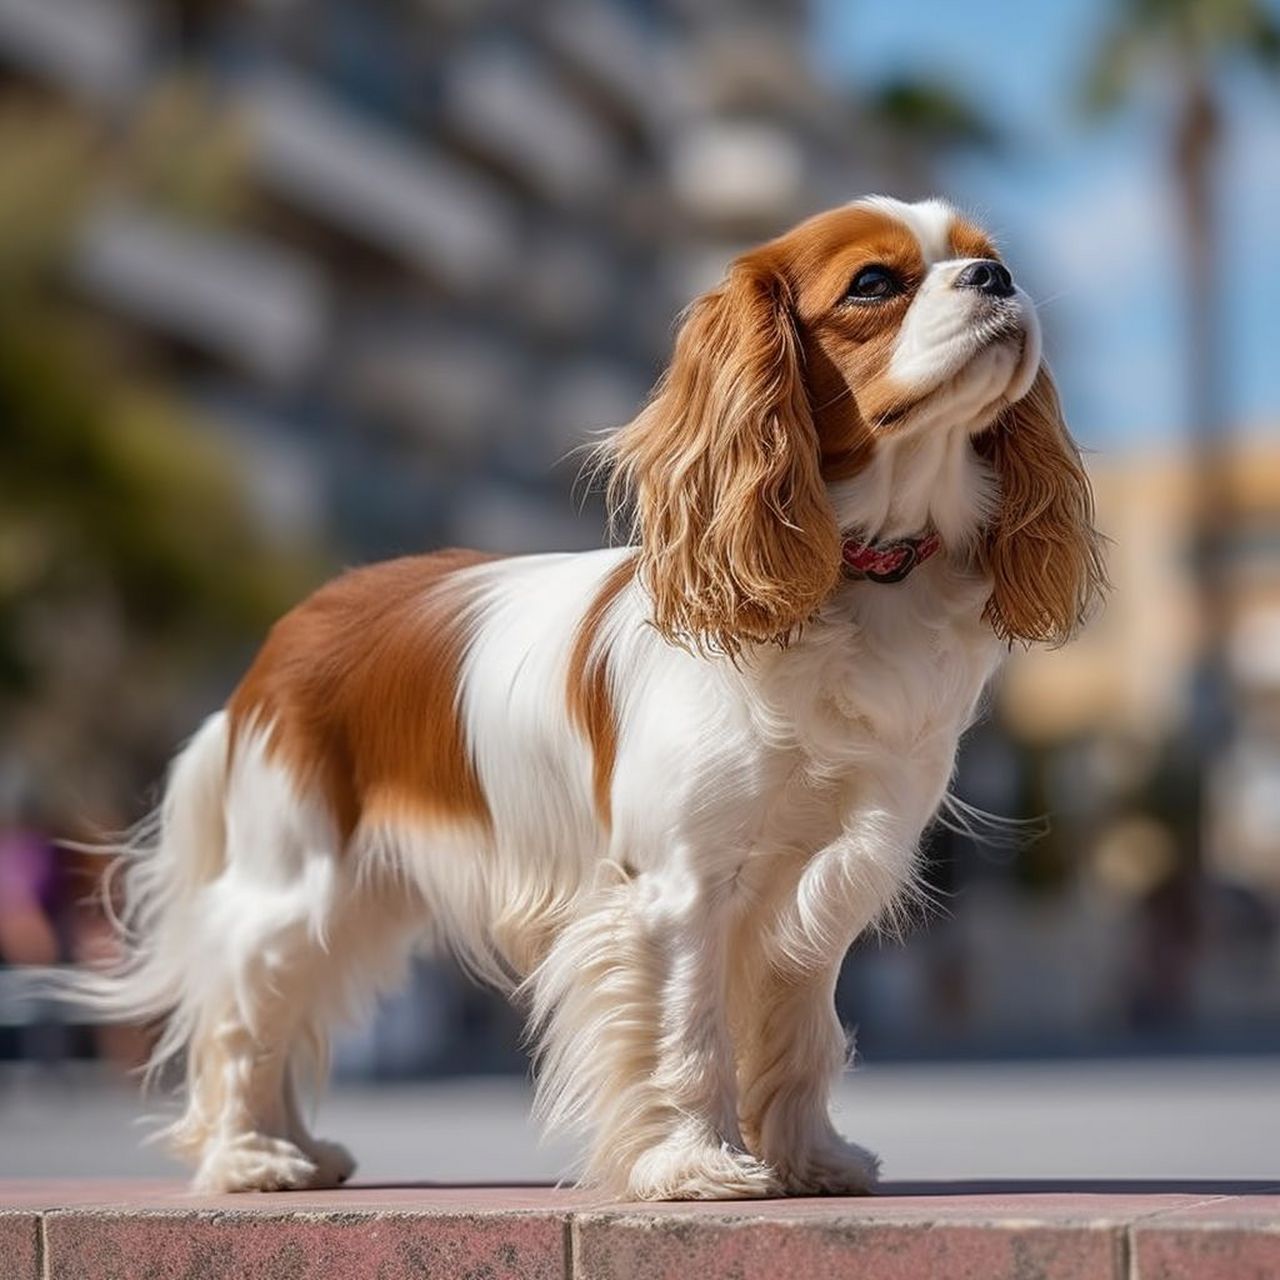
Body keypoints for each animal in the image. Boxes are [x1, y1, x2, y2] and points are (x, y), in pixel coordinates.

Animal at [74, 194, 1105, 1192]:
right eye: (874, 285)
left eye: (988, 256)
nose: (998, 279)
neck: (857, 576)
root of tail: (281, 640)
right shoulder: (680, 886)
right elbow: (688, 1038)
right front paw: (697, 1168)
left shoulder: (822, 887)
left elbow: (798, 1036)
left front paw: (810, 1161)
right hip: (296, 885)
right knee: (242, 1019)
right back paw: (248, 1159)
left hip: (362, 899)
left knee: (289, 1015)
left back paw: (298, 1151)